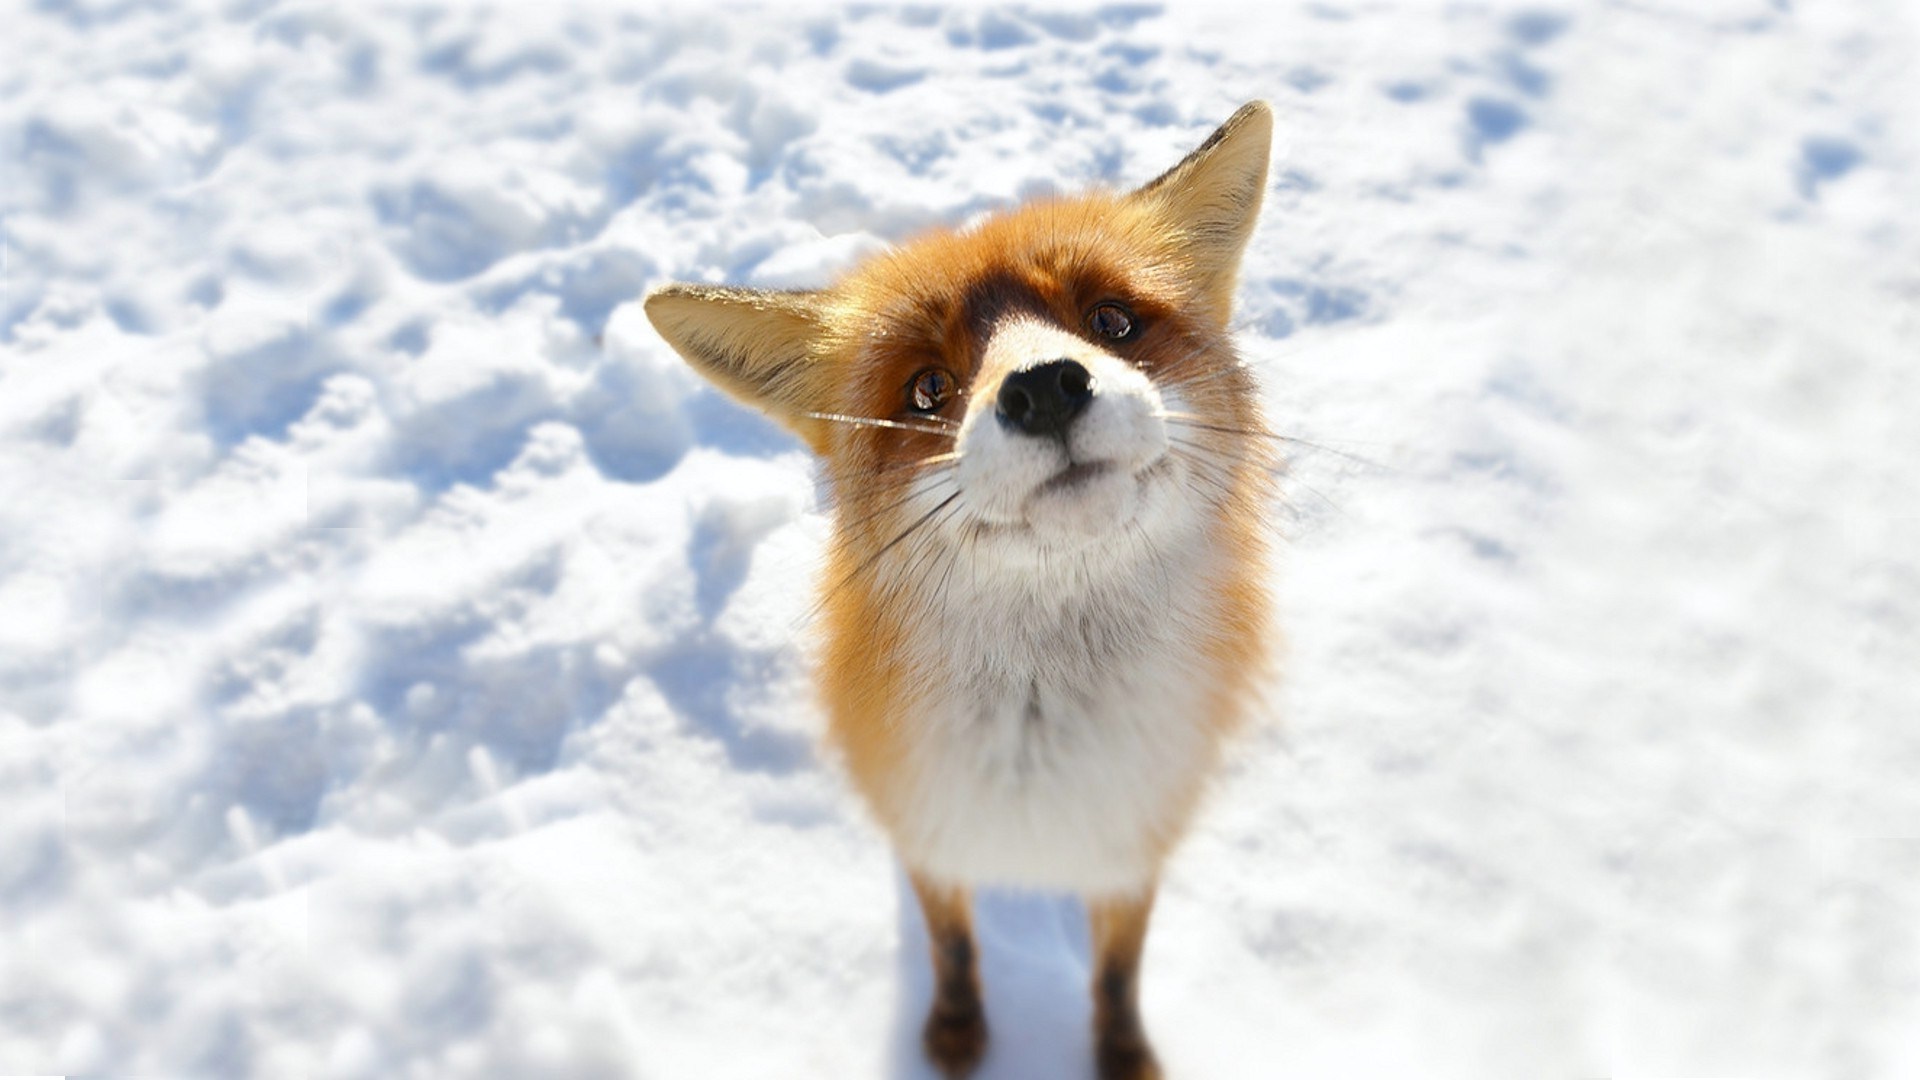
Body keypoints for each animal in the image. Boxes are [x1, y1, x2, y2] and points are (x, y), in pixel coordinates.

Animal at [645, 101, 1275, 1080]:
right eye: (927, 388)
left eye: (1112, 321)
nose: (1046, 388)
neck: (1042, 751)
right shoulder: (927, 831)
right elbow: (951, 945)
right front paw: (954, 1034)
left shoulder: (1135, 843)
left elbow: (1117, 973)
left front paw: (1122, 1055)